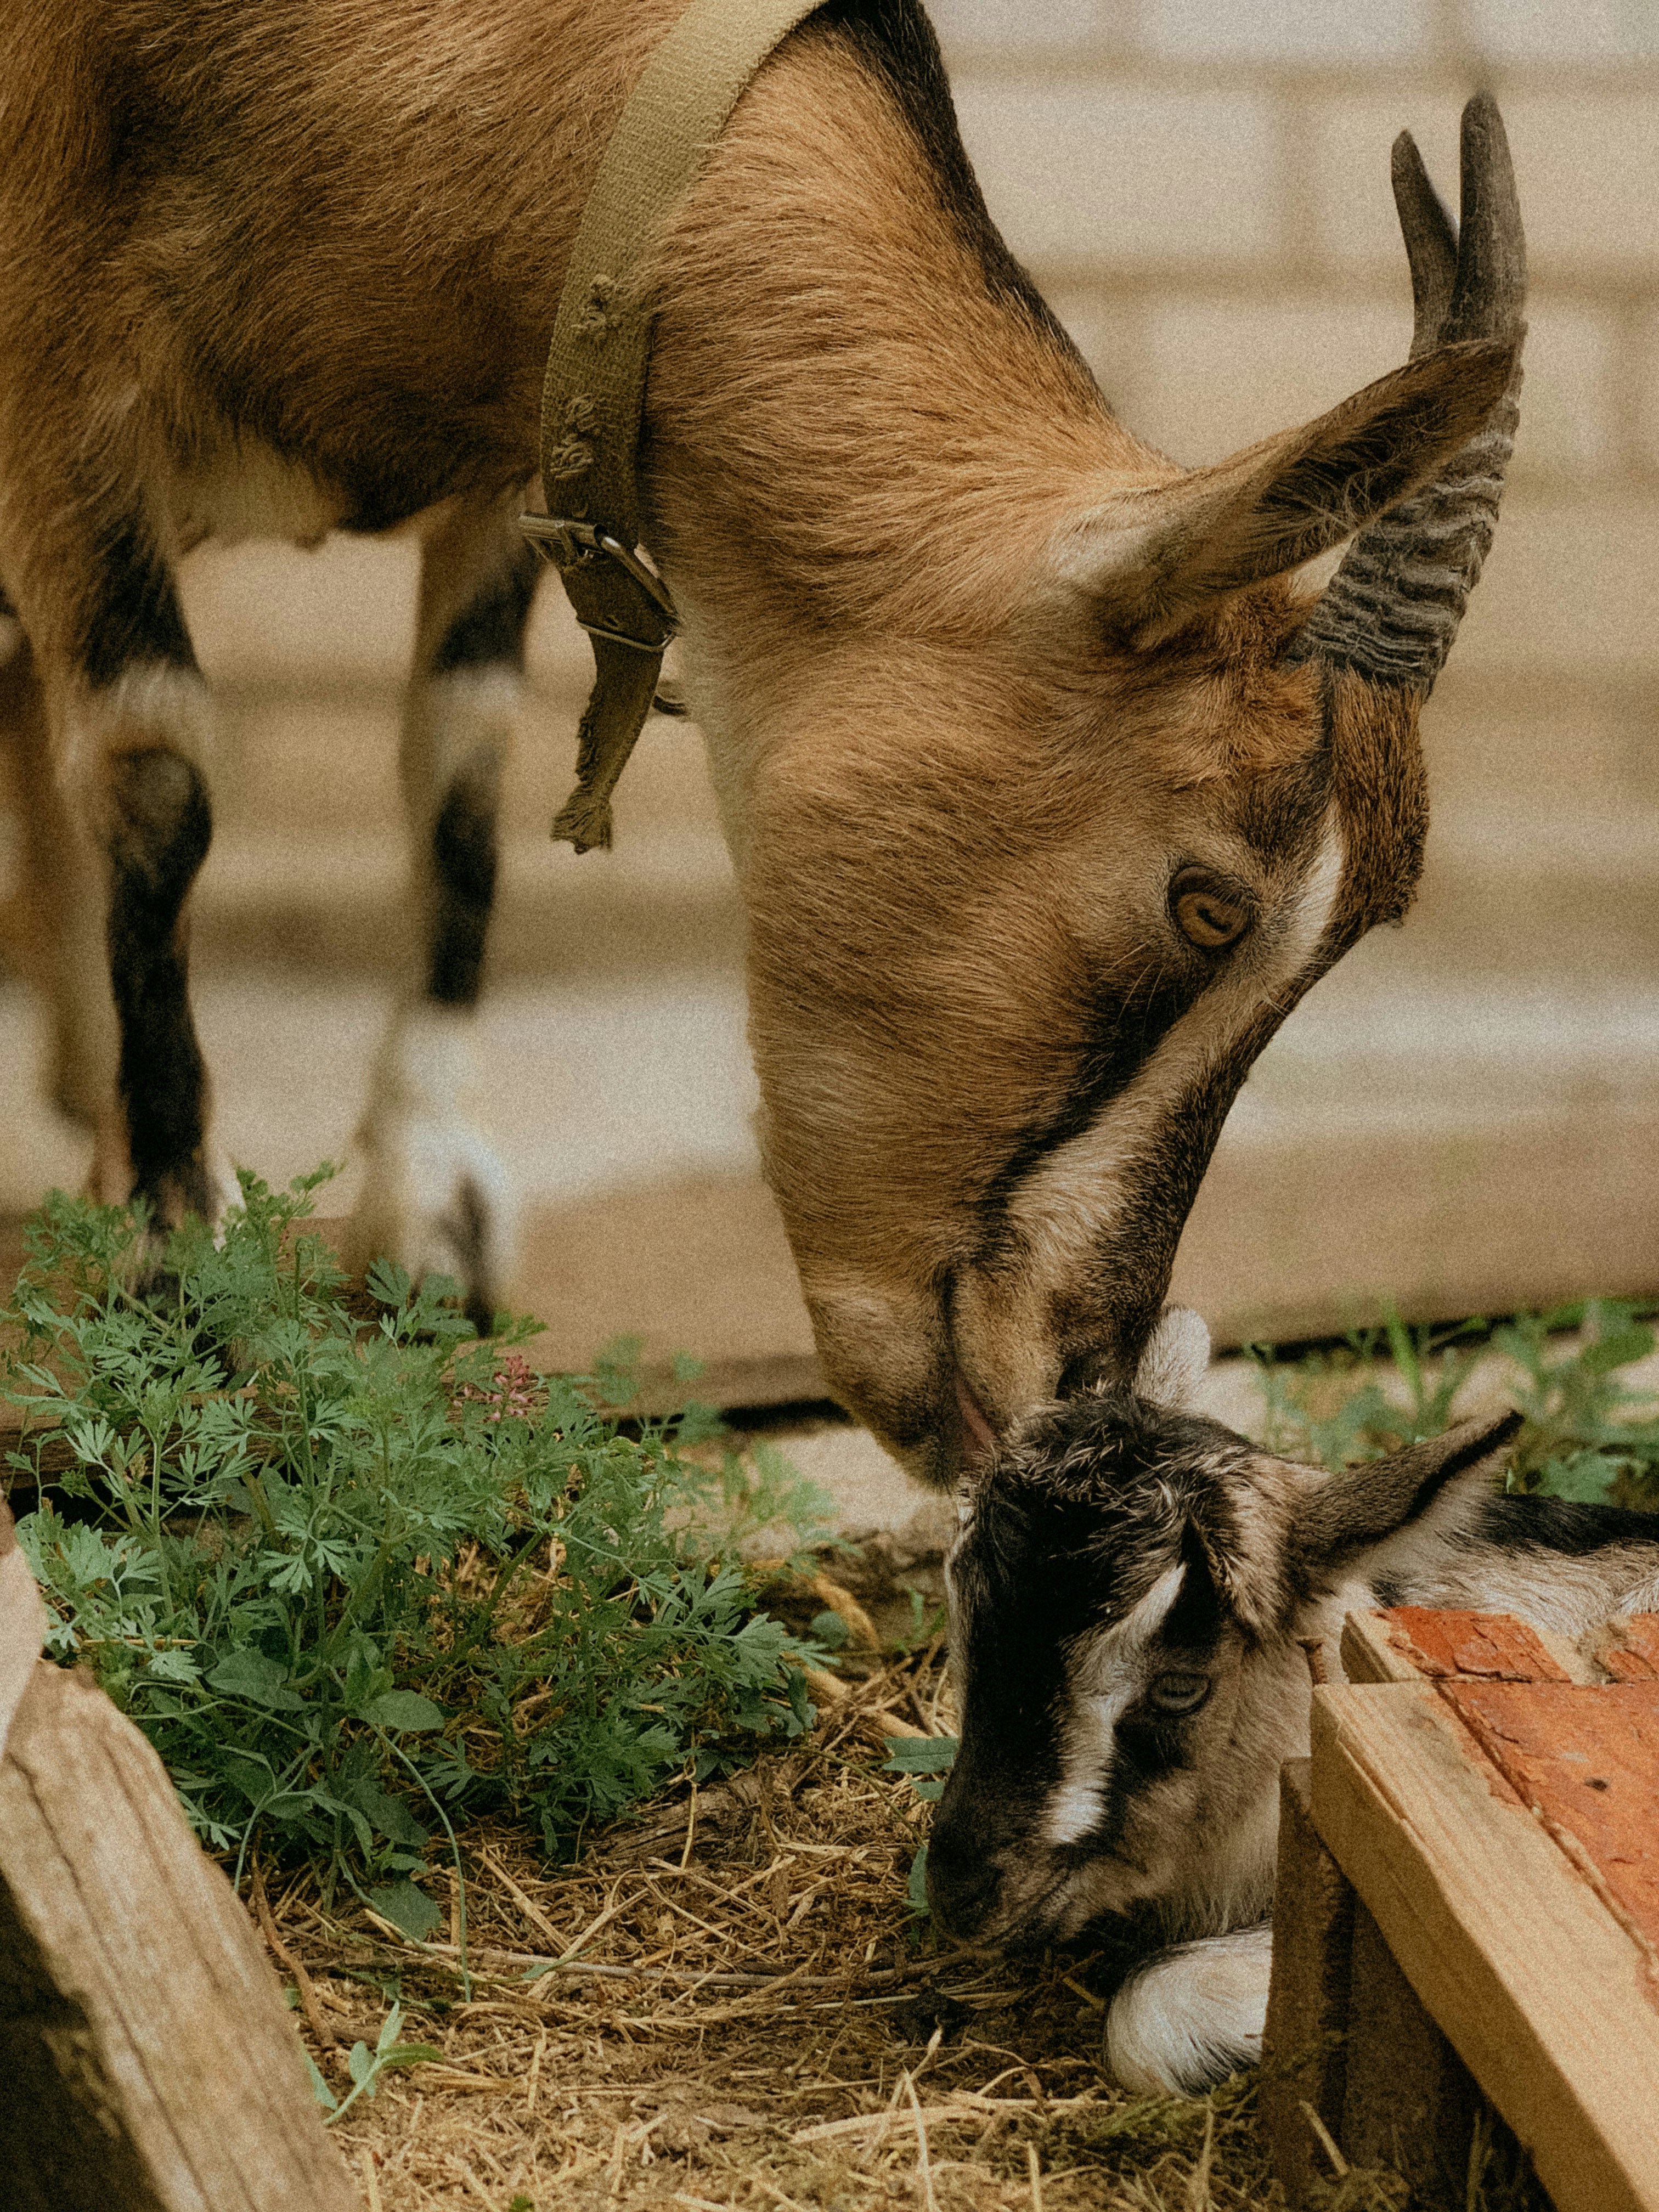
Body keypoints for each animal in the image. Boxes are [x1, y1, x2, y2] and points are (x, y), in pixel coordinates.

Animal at [0, 2, 1522, 1468]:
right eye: (1207, 903)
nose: (1072, 1379)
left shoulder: (513, 461)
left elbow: (464, 776)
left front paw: (423, 1225)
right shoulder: (69, 408)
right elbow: (159, 777)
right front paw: (175, 1272)